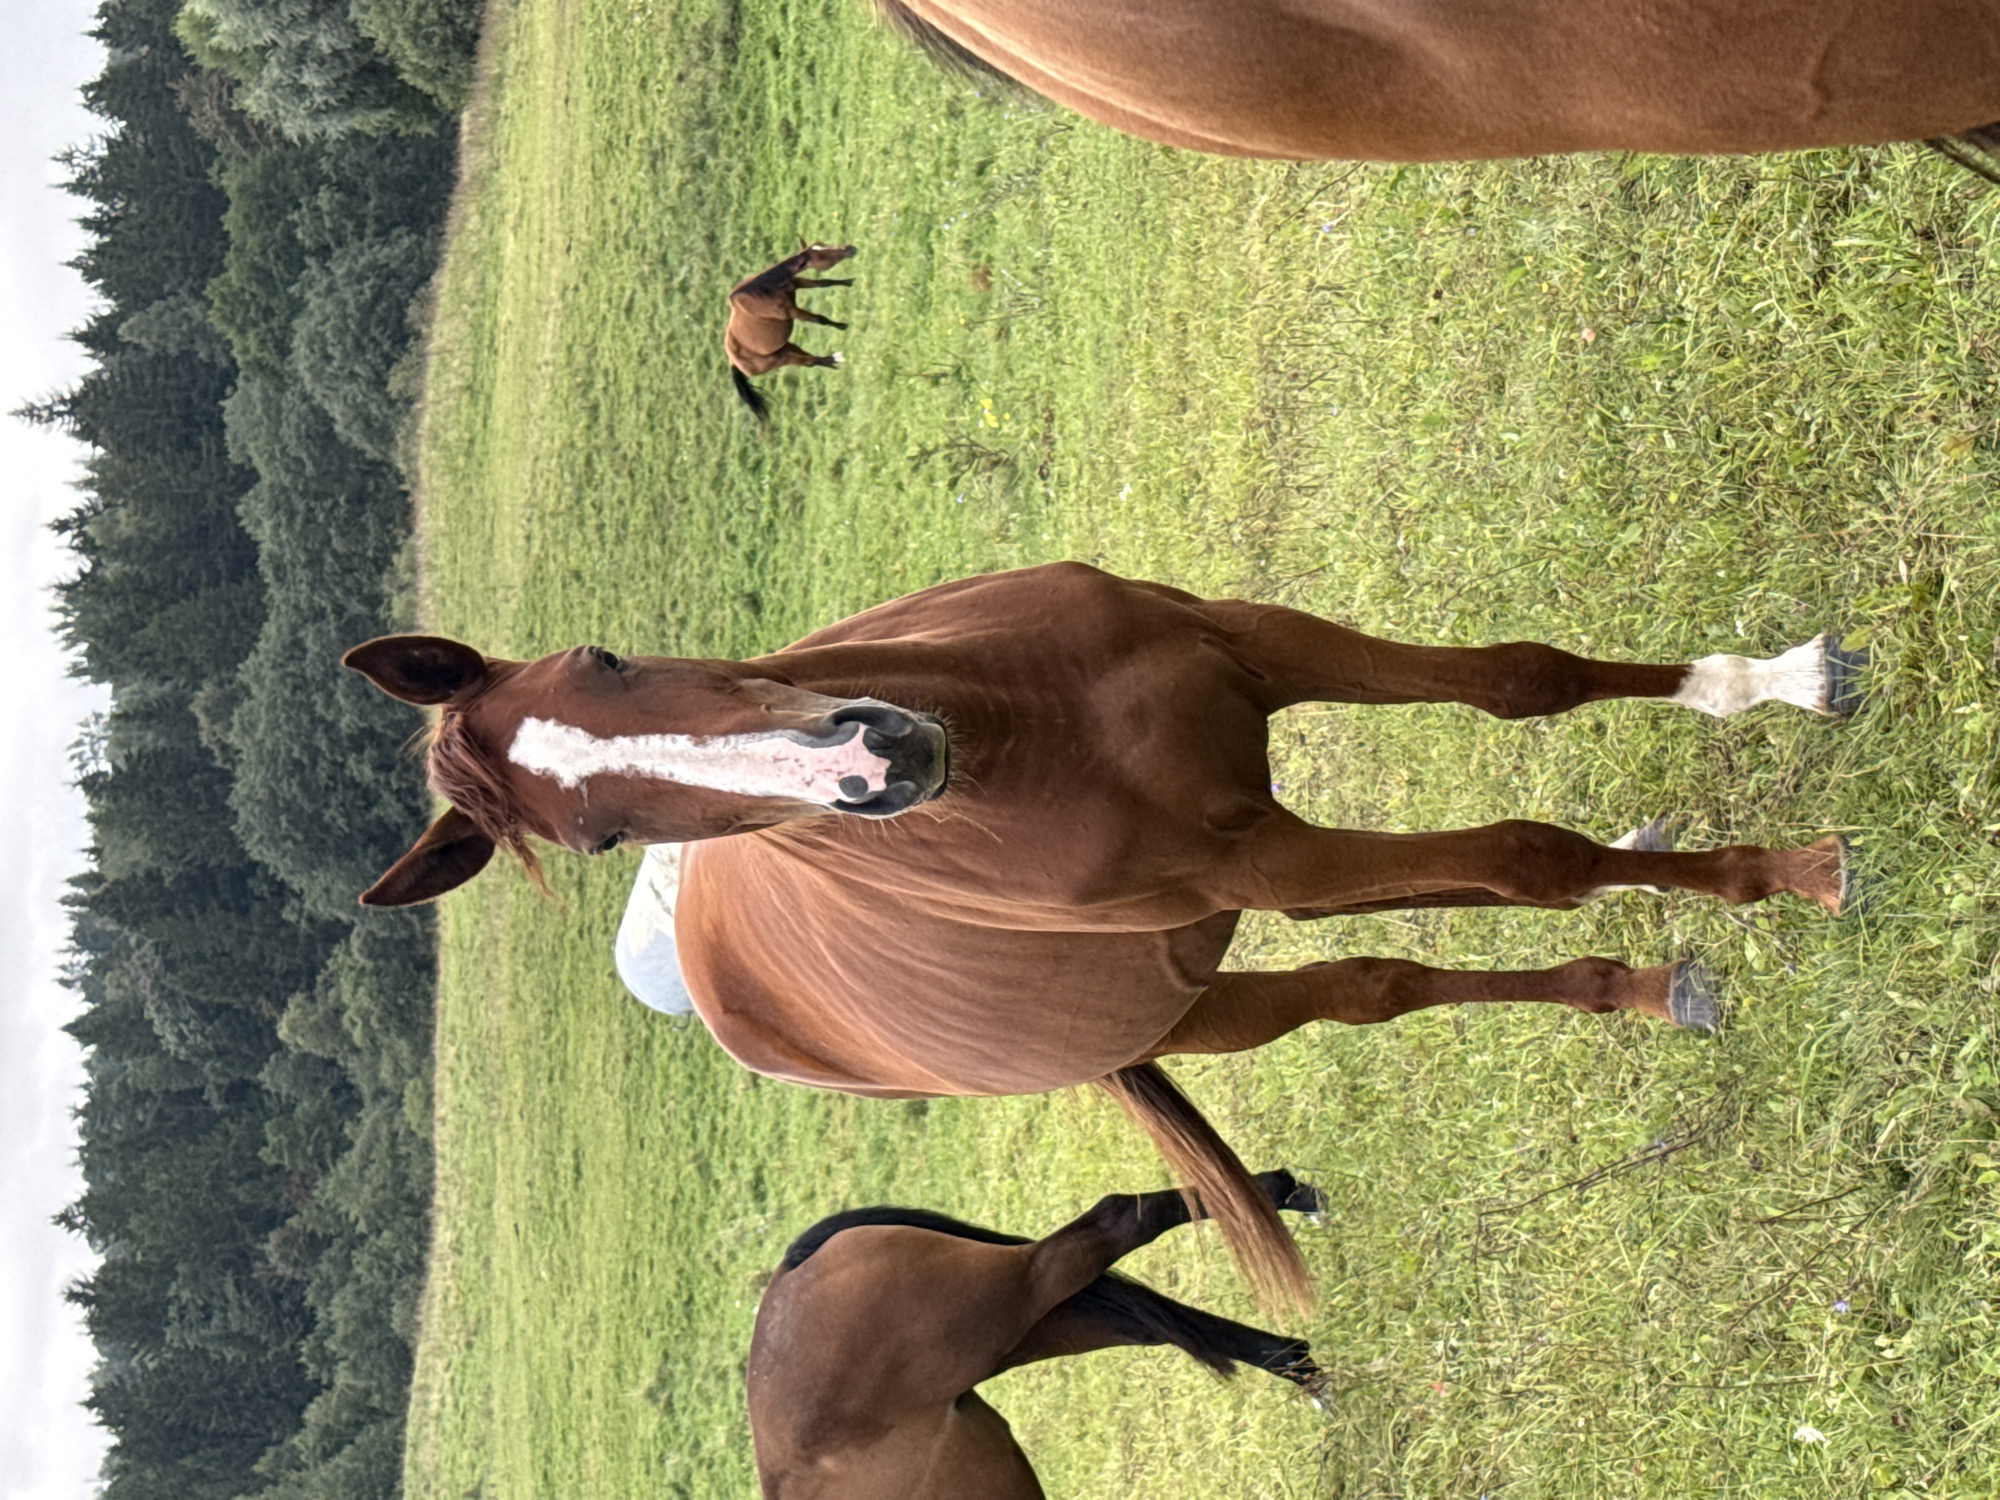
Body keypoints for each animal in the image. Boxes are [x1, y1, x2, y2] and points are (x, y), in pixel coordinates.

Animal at [344, 562, 1860, 1310]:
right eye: (593, 838)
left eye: (601, 657)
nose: (868, 764)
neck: (1027, 728)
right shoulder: (1267, 860)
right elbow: (1524, 859)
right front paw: (1785, 872)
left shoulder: (1254, 645)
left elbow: (1517, 683)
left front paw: (1770, 683)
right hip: (1201, 998)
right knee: (1369, 988)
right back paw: (1652, 971)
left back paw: (1648, 971)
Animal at [724, 242, 857, 419]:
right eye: (821, 255)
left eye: (821, 245)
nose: (850, 248)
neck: (761, 290)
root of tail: (733, 362)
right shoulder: (791, 311)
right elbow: (820, 319)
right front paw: (842, 326)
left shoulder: (796, 282)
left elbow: (824, 282)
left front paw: (848, 282)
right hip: (781, 358)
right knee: (810, 362)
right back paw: (835, 358)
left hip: (786, 348)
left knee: (811, 359)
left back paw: (833, 361)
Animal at [749, 1172, 1326, 1499]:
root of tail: (787, 1277)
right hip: (1038, 1326)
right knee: (1150, 1322)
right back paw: (1306, 1372)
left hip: (1013, 1295)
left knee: (1117, 1218)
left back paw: (1289, 1196)